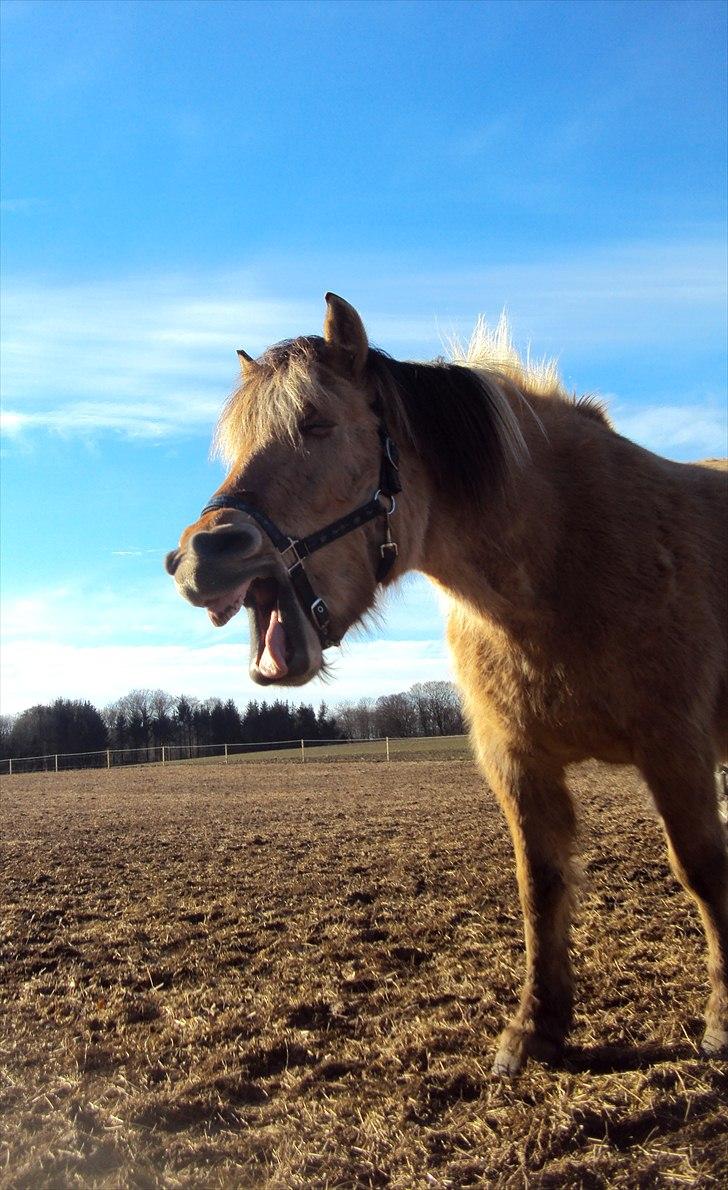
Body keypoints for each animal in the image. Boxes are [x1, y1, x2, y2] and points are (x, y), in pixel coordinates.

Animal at [166, 292, 728, 1075]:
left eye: (318, 423)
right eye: (236, 445)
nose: (200, 557)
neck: (565, 560)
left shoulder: (676, 747)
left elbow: (702, 869)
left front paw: (723, 1020)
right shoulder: (516, 760)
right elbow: (540, 885)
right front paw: (536, 1027)